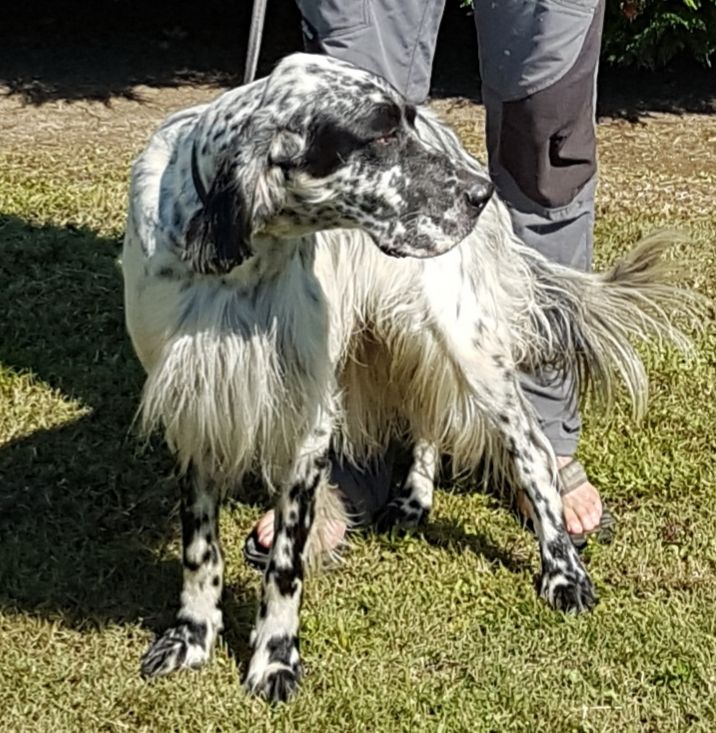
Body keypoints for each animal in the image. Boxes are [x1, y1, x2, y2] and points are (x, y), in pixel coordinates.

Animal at [124, 53, 700, 704]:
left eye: (406, 121)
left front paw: (274, 659)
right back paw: (413, 497)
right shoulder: (195, 406)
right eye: (381, 134)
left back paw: (562, 572)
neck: (238, 258)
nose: (481, 193)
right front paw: (191, 638)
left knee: (532, 450)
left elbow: (286, 566)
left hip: (464, 343)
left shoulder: (307, 420)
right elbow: (200, 547)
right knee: (426, 414)